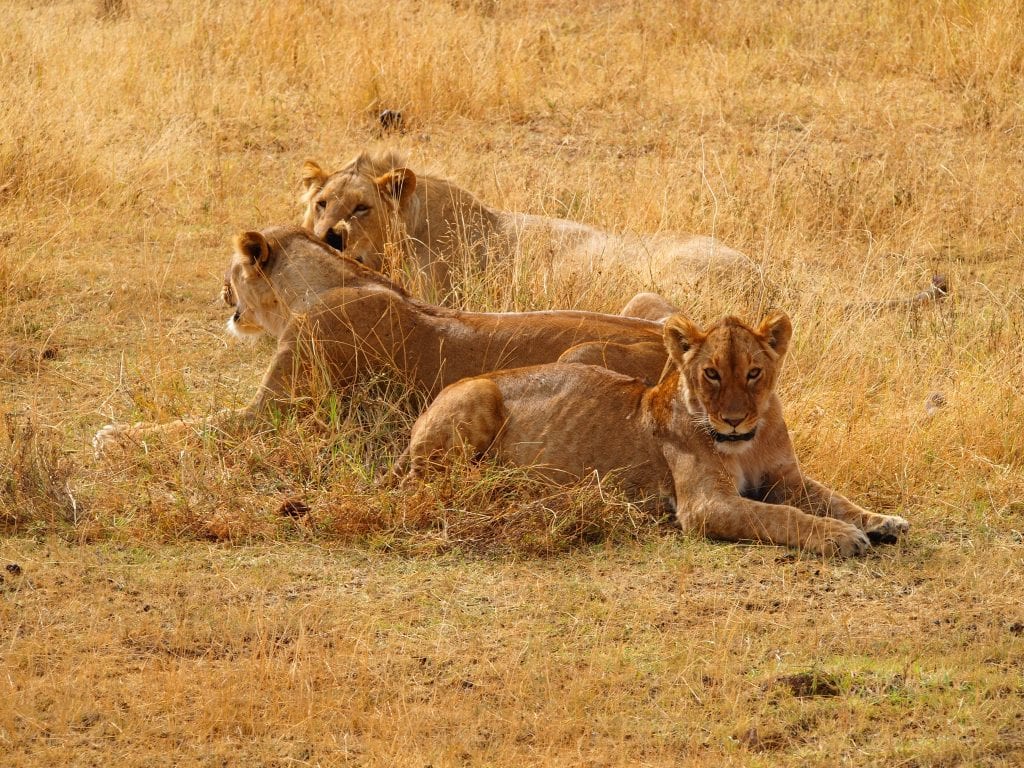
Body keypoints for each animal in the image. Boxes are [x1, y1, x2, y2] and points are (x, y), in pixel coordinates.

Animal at [94, 222, 663, 450]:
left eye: (232, 269)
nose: (220, 293)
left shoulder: (276, 414)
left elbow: (193, 427)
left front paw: (113, 436)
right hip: (645, 300)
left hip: (582, 351)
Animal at [395, 313, 909, 561]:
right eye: (711, 374)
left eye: (754, 372)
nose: (734, 420)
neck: (748, 443)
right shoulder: (705, 506)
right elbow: (781, 516)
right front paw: (840, 537)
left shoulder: (786, 478)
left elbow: (836, 499)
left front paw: (882, 521)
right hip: (477, 396)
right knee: (436, 486)